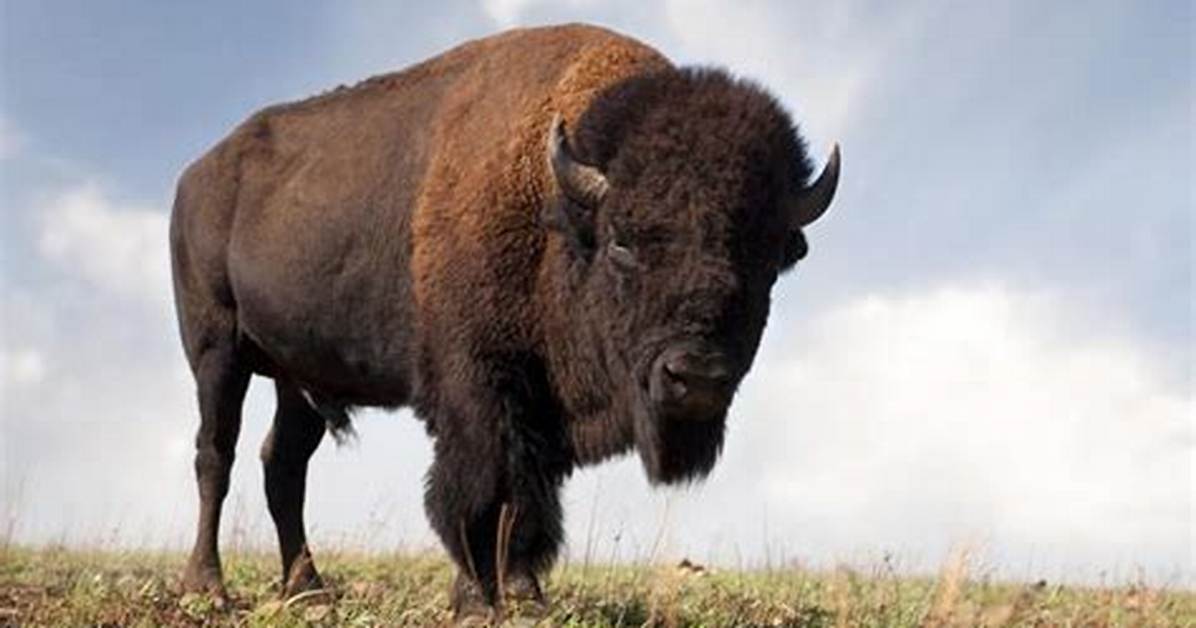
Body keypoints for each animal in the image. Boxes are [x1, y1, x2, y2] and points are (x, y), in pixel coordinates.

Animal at [170, 23, 839, 619]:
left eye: (764, 255)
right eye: (622, 241)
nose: (695, 377)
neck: (559, 214)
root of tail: (196, 175)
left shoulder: (545, 404)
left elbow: (531, 493)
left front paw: (523, 592)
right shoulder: (480, 386)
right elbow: (483, 487)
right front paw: (476, 597)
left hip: (299, 377)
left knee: (283, 464)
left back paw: (309, 590)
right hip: (216, 352)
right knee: (215, 455)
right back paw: (208, 586)